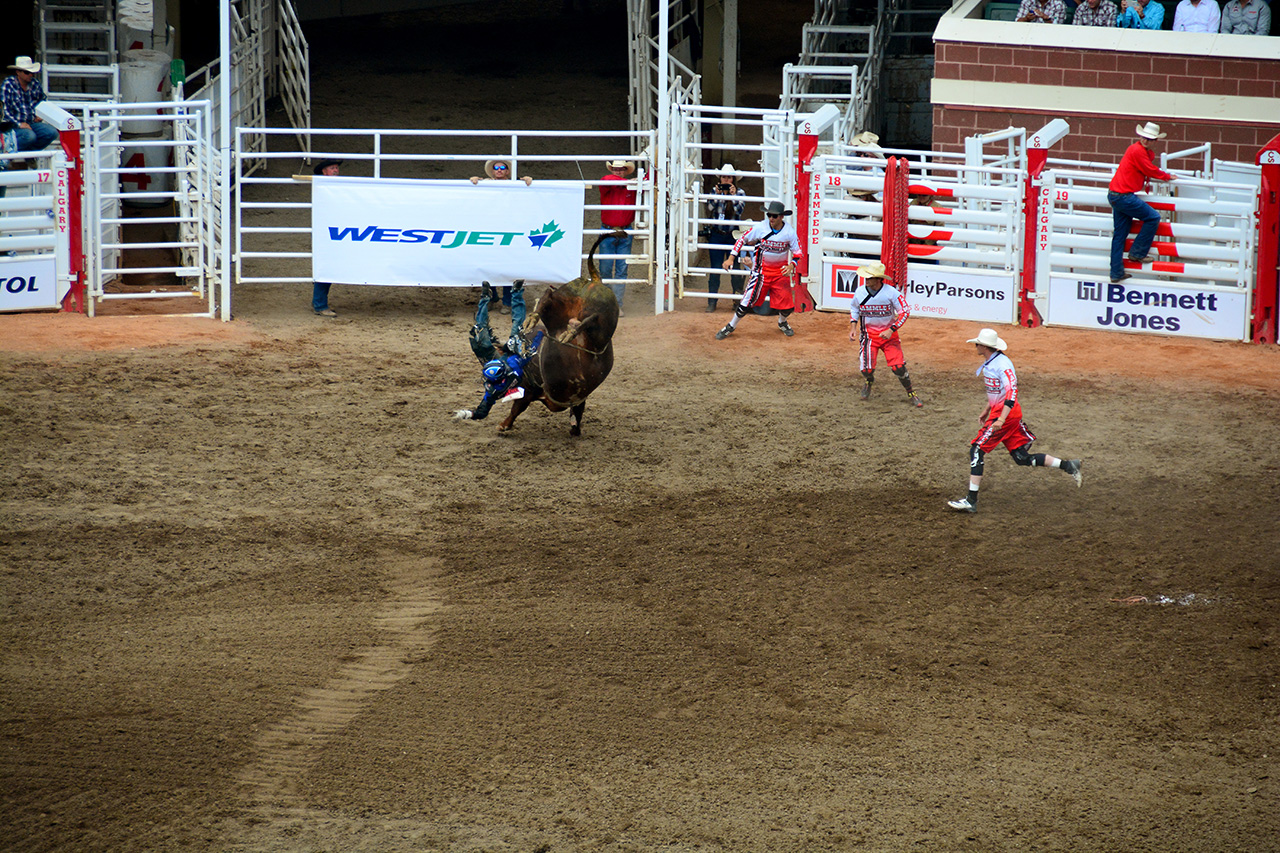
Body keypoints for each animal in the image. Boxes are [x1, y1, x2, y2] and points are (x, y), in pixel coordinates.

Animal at [499, 229, 619, 435]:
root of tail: (595, 281)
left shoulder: (528, 390)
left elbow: (517, 407)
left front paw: (504, 424)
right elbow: (577, 411)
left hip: (593, 319)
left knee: (562, 305)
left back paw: (562, 329)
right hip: (583, 314)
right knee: (560, 304)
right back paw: (556, 326)